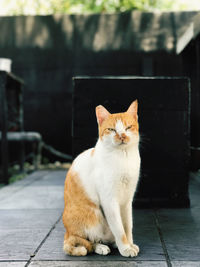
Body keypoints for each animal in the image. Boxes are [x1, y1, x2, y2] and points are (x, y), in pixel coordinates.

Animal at [62, 100, 141, 258]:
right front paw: (125, 248)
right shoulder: (109, 201)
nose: (122, 136)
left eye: (128, 127)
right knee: (87, 241)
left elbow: (127, 226)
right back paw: (101, 247)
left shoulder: (127, 200)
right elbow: (119, 228)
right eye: (112, 129)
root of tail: (67, 233)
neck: (123, 157)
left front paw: (130, 244)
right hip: (94, 215)